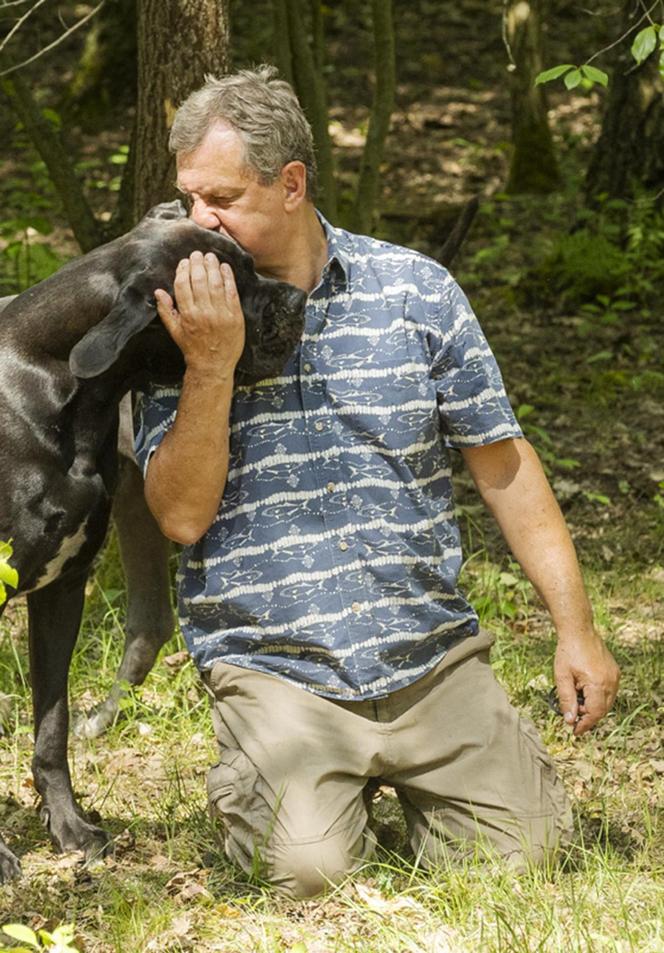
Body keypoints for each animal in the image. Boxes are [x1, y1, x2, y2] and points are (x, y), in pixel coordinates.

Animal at [0, 203, 306, 884]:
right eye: (229, 288)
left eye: (251, 262)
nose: (299, 299)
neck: (60, 388)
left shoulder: (63, 588)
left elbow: (53, 725)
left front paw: (70, 827)